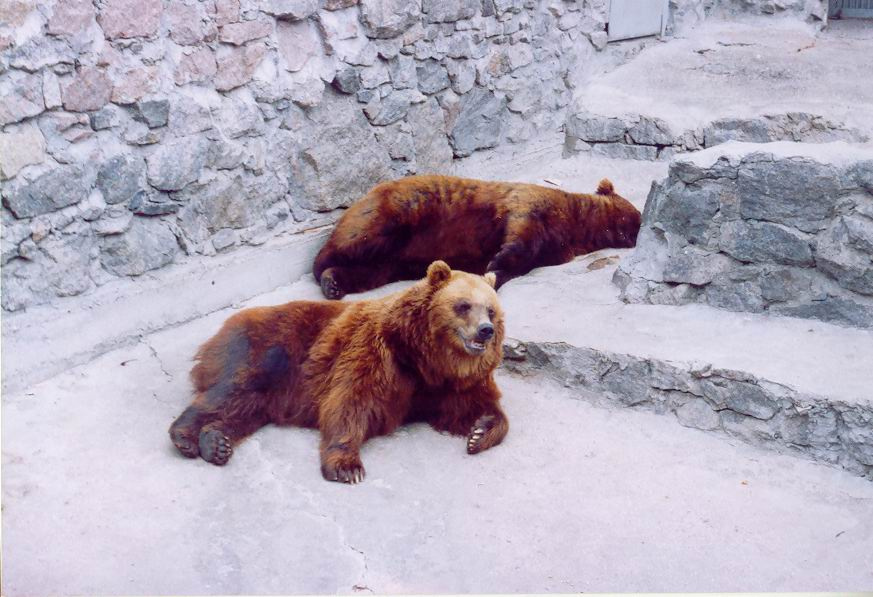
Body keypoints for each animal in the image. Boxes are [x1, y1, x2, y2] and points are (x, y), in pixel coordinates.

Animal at [168, 261, 507, 484]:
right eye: (463, 305)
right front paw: (347, 466)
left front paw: (479, 432)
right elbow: (353, 399)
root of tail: (219, 331)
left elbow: (474, 408)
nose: (485, 330)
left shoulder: (451, 384)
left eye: (491, 310)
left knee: (245, 407)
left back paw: (215, 441)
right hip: (265, 352)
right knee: (230, 392)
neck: (425, 356)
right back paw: (186, 436)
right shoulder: (377, 352)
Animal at [313, 174, 641, 299]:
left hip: (393, 261)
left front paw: (493, 274)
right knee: (360, 241)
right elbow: (520, 239)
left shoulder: (556, 245)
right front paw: (495, 265)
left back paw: (334, 283)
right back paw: (324, 268)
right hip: (398, 212)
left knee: (371, 271)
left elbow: (525, 261)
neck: (578, 224)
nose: (639, 225)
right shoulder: (531, 206)